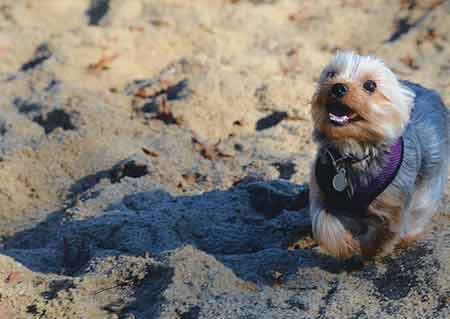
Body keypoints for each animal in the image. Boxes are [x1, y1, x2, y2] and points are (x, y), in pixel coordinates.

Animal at [310, 52, 450, 260]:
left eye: (370, 85)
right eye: (331, 74)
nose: (338, 86)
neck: (351, 152)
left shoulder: (394, 200)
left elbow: (384, 233)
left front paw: (369, 251)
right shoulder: (322, 193)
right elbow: (324, 224)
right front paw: (347, 246)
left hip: (429, 183)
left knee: (420, 211)